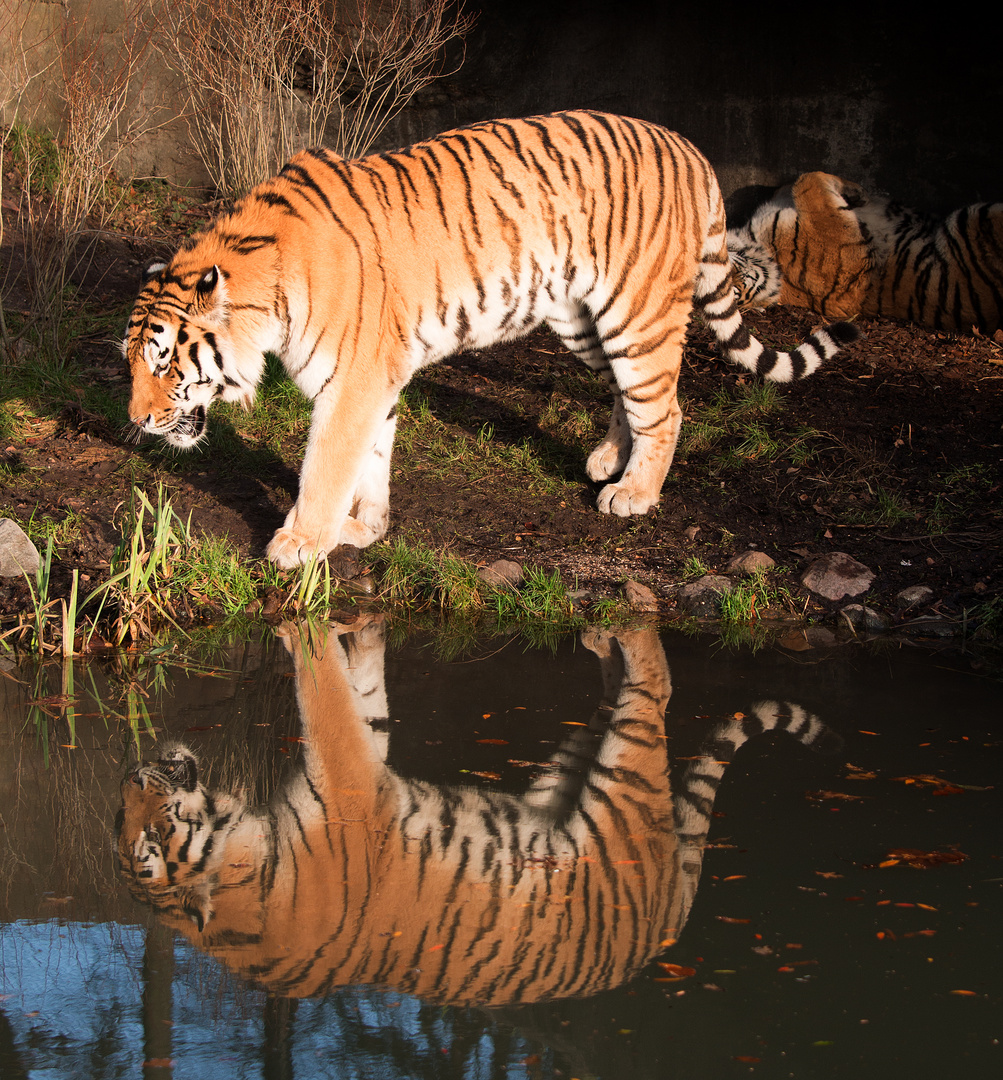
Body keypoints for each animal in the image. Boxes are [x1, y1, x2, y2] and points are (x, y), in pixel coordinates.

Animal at [117, 622, 837, 1006]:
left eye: (143, 815)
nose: (136, 770)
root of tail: (663, 929)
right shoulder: (348, 781)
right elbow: (327, 695)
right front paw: (305, 624)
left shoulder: (355, 772)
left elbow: (359, 699)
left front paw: (357, 624)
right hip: (622, 785)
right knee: (651, 689)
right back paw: (631, 614)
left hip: (569, 777)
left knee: (615, 696)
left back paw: (600, 634)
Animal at [123, 109, 859, 570]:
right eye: (132, 364)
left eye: (163, 363)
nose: (136, 421)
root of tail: (693, 151)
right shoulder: (374, 380)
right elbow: (371, 460)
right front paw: (366, 527)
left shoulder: (352, 382)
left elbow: (325, 466)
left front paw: (301, 542)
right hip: (583, 321)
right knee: (631, 396)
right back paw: (608, 461)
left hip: (638, 312)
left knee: (668, 407)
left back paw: (633, 495)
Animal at [729, 169, 1001, 332]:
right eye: (734, 291)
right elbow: (807, 182)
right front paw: (858, 194)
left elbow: (795, 182)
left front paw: (858, 194)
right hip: (976, 218)